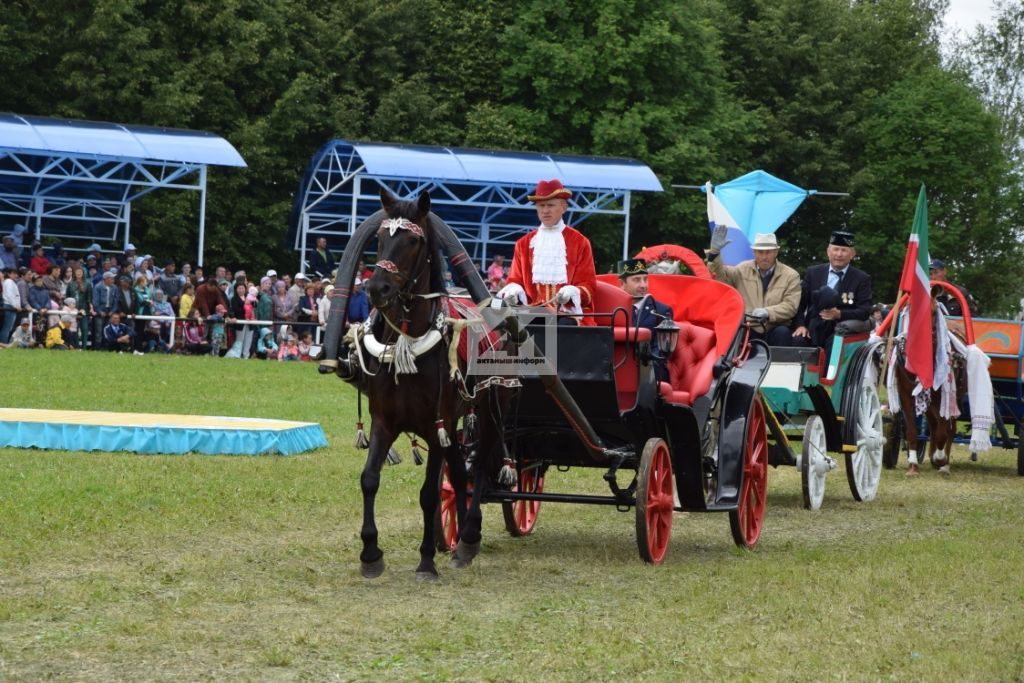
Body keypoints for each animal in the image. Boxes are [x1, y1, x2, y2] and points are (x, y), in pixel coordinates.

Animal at [356, 188, 507, 581]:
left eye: (413, 240)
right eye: (380, 238)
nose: (376, 288)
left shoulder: (434, 424)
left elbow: (427, 493)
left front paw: (425, 561)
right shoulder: (384, 421)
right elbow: (369, 478)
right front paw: (370, 553)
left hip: (486, 412)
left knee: (480, 467)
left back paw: (469, 536)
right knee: (459, 469)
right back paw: (460, 538)